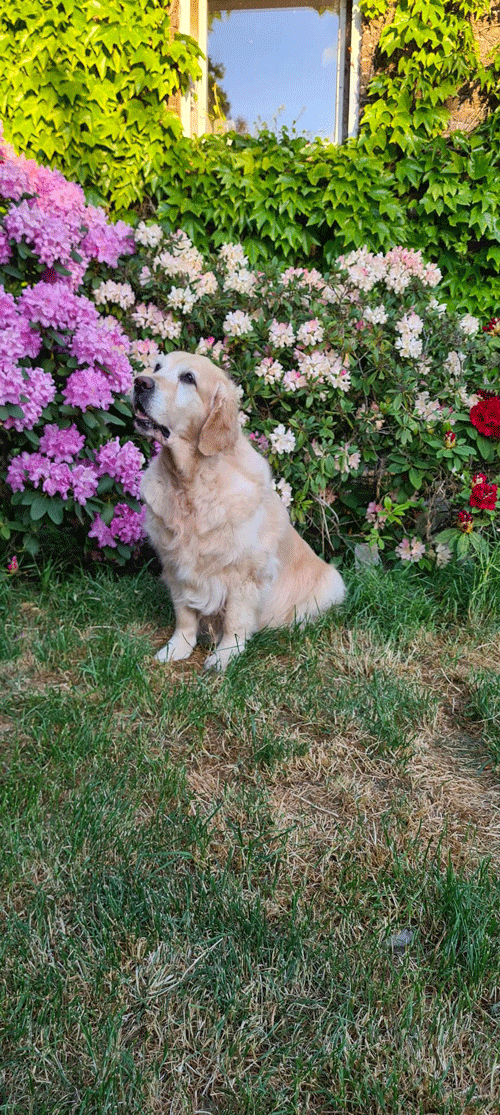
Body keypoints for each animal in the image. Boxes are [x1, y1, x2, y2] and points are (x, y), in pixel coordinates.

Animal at [132, 350, 345, 669]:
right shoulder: (175, 564)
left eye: (188, 378)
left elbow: (235, 619)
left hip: (332, 582)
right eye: (156, 367)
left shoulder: (245, 572)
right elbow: (184, 615)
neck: (189, 481)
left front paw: (225, 656)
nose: (140, 382)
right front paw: (176, 648)